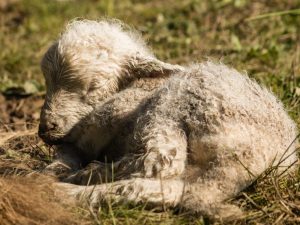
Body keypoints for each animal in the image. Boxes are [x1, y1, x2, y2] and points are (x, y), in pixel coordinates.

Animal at [38, 19, 298, 220]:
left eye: (93, 86)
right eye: (47, 83)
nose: (45, 129)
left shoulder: (110, 113)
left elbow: (80, 142)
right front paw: (47, 171)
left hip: (174, 107)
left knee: (157, 164)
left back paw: (74, 183)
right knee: (171, 189)